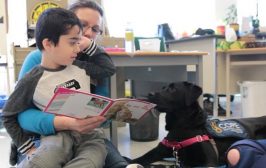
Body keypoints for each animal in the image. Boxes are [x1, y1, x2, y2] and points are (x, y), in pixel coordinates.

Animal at [131, 81, 266, 167]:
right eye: (163, 87)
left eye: (172, 89)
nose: (149, 93)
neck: (181, 127)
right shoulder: (158, 152)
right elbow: (136, 159)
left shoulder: (210, 161)